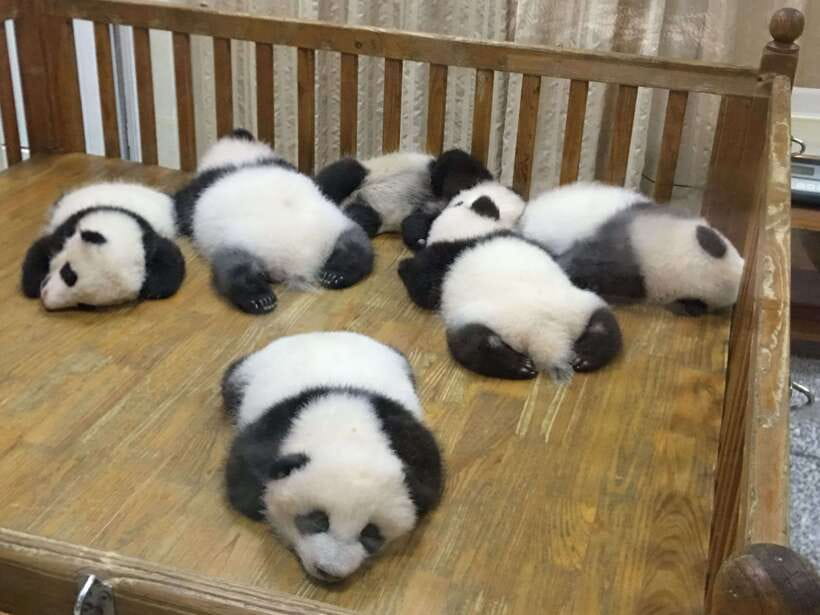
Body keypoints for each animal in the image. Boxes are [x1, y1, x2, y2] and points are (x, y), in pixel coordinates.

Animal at [21, 182, 185, 310]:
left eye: (84, 305)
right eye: (68, 273)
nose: (46, 297)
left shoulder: (149, 241)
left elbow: (170, 265)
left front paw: (151, 288)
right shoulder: (68, 228)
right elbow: (40, 251)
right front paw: (33, 284)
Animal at [173, 129, 374, 315]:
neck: (240, 157)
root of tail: (296, 261)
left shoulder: (197, 189)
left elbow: (180, 207)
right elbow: (328, 180)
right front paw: (355, 168)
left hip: (238, 244)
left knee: (233, 271)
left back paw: (258, 299)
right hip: (337, 227)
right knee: (356, 247)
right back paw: (337, 274)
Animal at [222, 331, 444, 583]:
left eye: (370, 532)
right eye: (318, 519)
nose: (329, 570)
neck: (348, 430)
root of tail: (323, 334)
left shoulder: (401, 432)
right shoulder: (278, 426)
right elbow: (242, 475)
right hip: (247, 372)